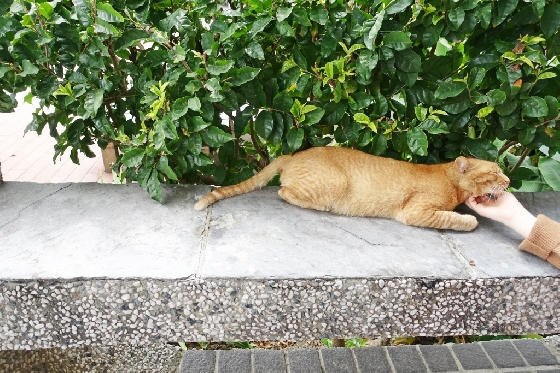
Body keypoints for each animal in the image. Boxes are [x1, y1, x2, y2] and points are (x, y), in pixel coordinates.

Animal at [195, 145, 510, 230]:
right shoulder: (416, 212)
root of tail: (293, 154)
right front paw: (468, 219)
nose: (508, 182)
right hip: (334, 184)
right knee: (283, 192)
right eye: (495, 171)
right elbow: (453, 219)